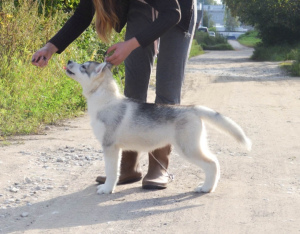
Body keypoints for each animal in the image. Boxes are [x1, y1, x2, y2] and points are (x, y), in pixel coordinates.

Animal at [64, 60, 252, 194]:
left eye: (83, 66)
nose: (69, 60)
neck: (105, 101)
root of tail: (192, 108)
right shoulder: (117, 148)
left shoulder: (109, 147)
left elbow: (111, 171)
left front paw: (106, 189)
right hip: (196, 145)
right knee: (214, 161)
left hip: (188, 149)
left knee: (212, 163)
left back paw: (206, 188)